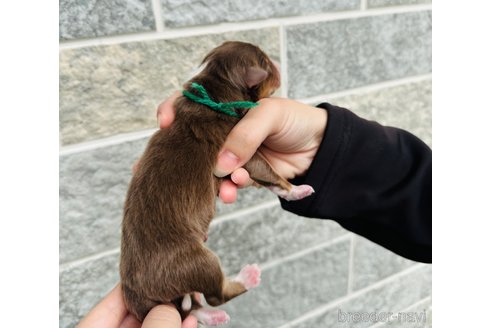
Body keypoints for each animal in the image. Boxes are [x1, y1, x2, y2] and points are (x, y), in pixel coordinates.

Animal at [119, 41, 314, 326]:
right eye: (267, 64)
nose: (278, 62)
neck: (214, 90)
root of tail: (137, 295)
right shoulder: (242, 150)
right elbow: (270, 171)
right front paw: (297, 189)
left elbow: (268, 180)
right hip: (197, 263)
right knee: (215, 294)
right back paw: (246, 278)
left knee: (194, 306)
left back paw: (211, 316)